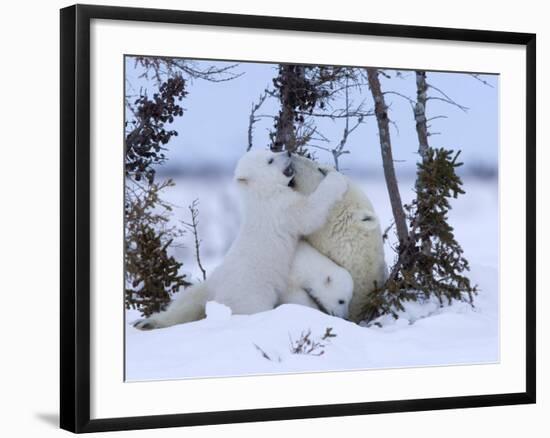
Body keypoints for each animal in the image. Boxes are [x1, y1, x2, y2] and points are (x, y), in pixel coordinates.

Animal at [134, 149, 348, 330]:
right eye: (270, 160)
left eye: (272, 150)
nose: (287, 151)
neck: (260, 194)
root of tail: (219, 300)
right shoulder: (280, 209)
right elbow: (310, 213)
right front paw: (335, 179)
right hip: (251, 294)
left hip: (211, 284)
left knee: (186, 301)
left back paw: (147, 322)